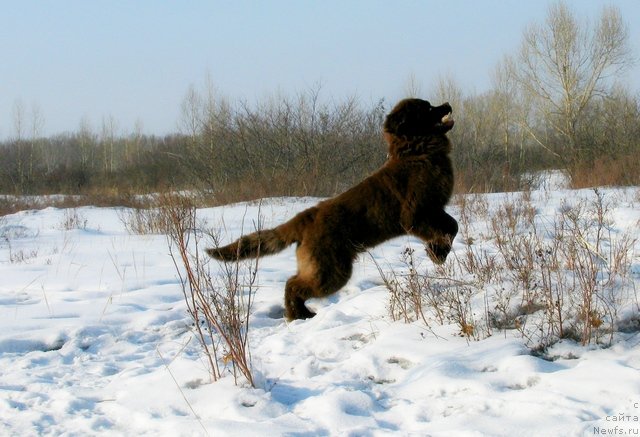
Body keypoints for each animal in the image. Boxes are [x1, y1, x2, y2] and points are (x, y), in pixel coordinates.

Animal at [208, 100, 458, 322]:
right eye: (427, 107)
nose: (447, 104)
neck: (416, 152)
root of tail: (304, 218)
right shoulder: (416, 214)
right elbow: (446, 230)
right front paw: (438, 252)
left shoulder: (435, 210)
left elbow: (452, 225)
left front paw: (438, 252)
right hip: (331, 271)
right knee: (293, 285)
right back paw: (299, 315)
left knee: (294, 281)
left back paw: (300, 314)